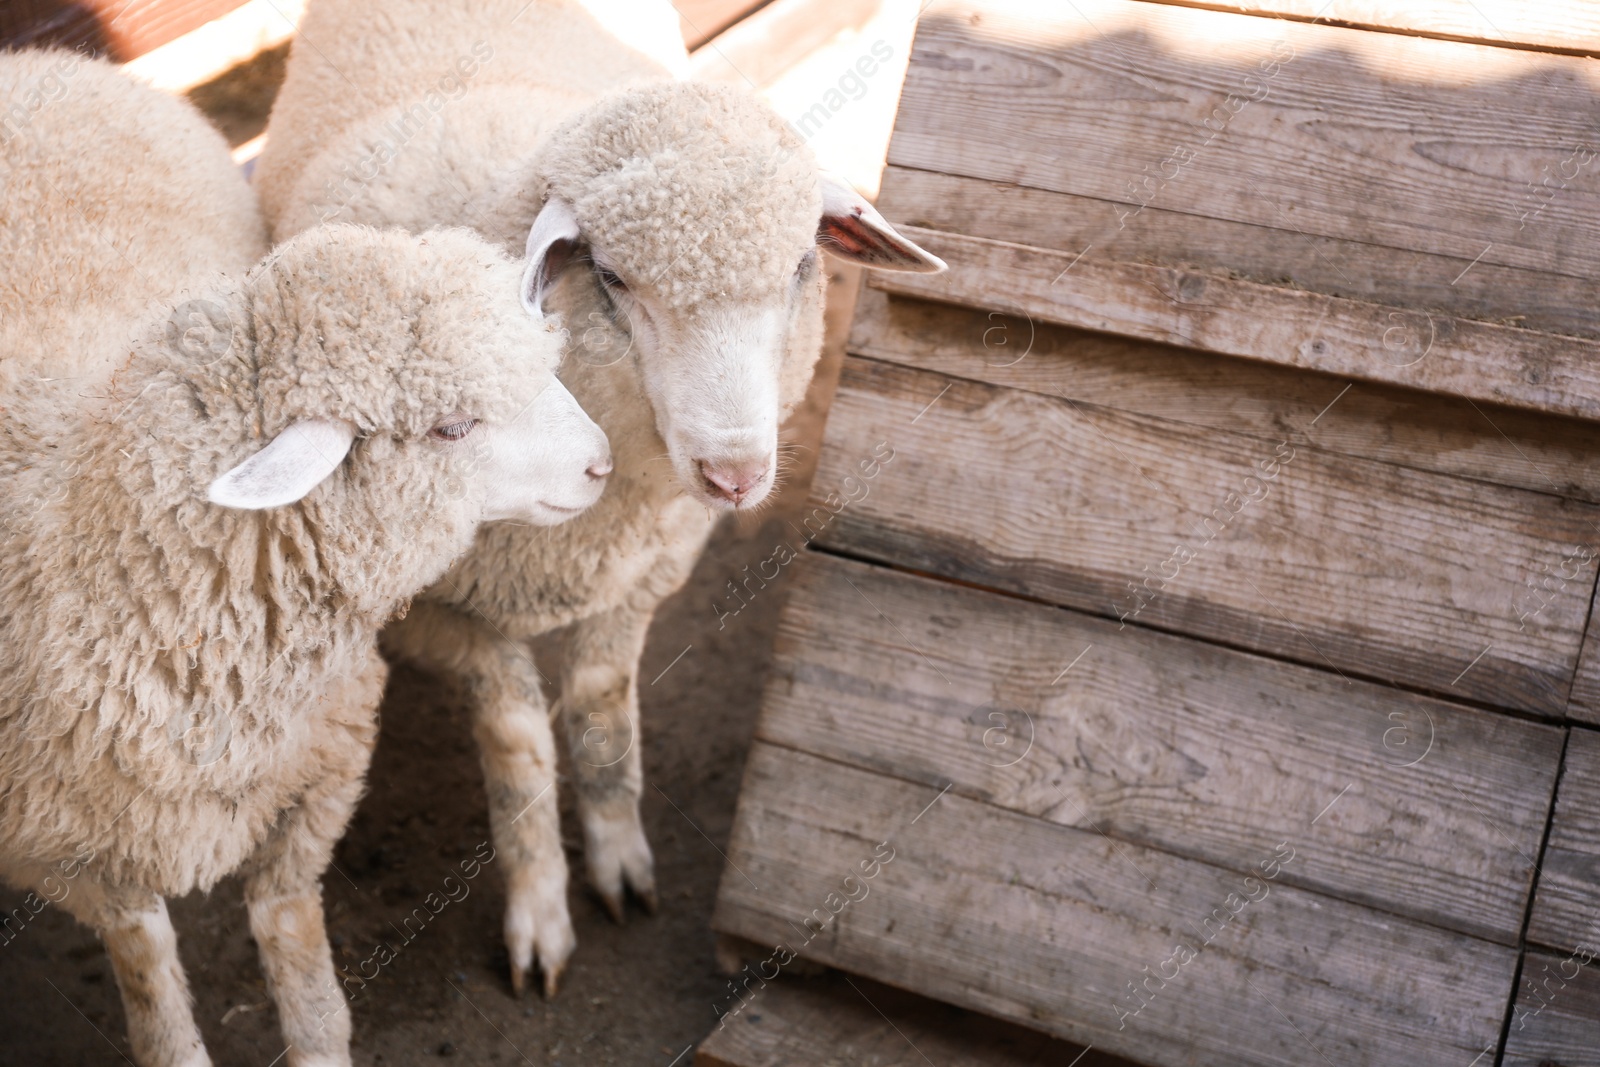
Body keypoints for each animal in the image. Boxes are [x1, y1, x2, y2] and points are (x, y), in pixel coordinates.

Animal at [0, 51, 611, 1067]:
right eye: (451, 426)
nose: (603, 461)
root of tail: (34, 63)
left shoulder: (314, 783)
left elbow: (296, 947)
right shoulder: (73, 851)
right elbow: (148, 974)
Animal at [254, 0, 940, 998]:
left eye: (802, 266)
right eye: (613, 278)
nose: (735, 475)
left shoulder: (644, 568)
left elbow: (601, 703)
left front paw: (619, 858)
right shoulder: (438, 613)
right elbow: (517, 746)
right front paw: (539, 910)